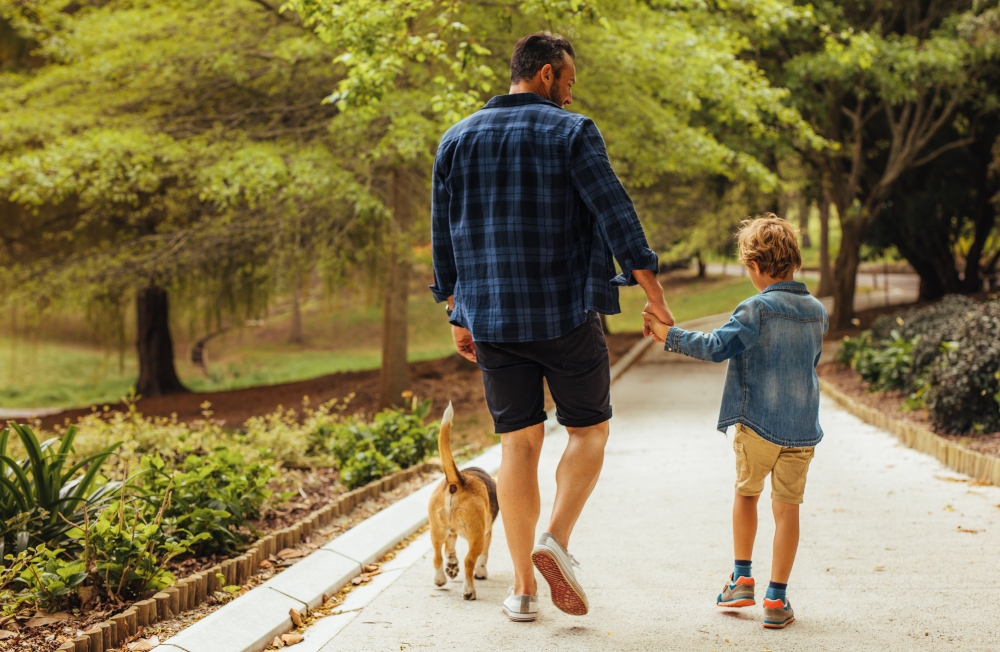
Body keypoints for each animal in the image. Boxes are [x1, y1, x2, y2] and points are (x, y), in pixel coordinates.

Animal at [428, 402, 498, 600]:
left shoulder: (451, 534)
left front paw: (452, 566)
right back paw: (469, 591)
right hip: (476, 536)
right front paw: (481, 572)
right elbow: (483, 557)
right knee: (469, 561)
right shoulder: (487, 533)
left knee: (437, 555)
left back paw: (440, 579)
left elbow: (449, 550)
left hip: (437, 531)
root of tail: (457, 481)